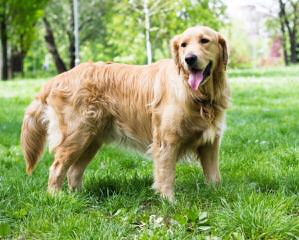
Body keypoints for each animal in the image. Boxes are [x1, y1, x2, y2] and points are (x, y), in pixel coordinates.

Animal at [20, 25, 230, 201]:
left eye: (204, 40)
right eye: (183, 45)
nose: (189, 59)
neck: (198, 96)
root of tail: (58, 78)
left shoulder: (210, 143)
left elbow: (215, 176)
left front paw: (217, 196)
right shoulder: (166, 142)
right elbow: (166, 175)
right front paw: (169, 202)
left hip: (90, 140)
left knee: (73, 171)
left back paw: (79, 198)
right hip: (76, 136)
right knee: (56, 168)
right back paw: (56, 198)